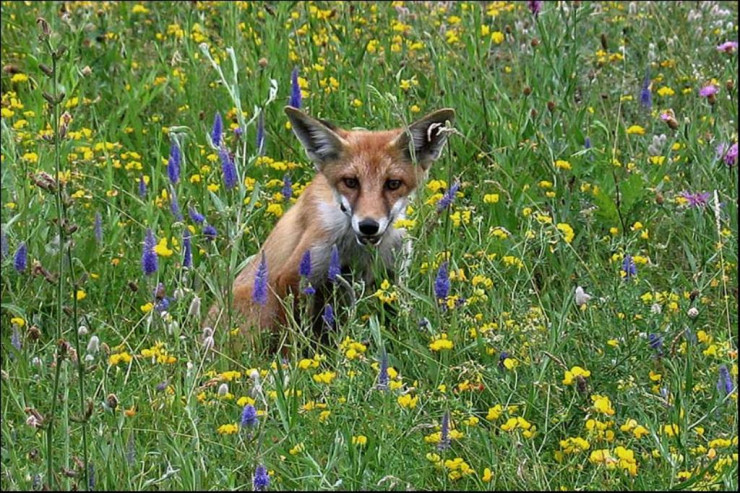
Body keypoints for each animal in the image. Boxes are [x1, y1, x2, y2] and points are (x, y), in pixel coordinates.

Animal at [205, 104, 454, 342]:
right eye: (351, 182)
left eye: (393, 184)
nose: (368, 225)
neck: (357, 252)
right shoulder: (294, 275)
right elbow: (292, 339)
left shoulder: (391, 278)